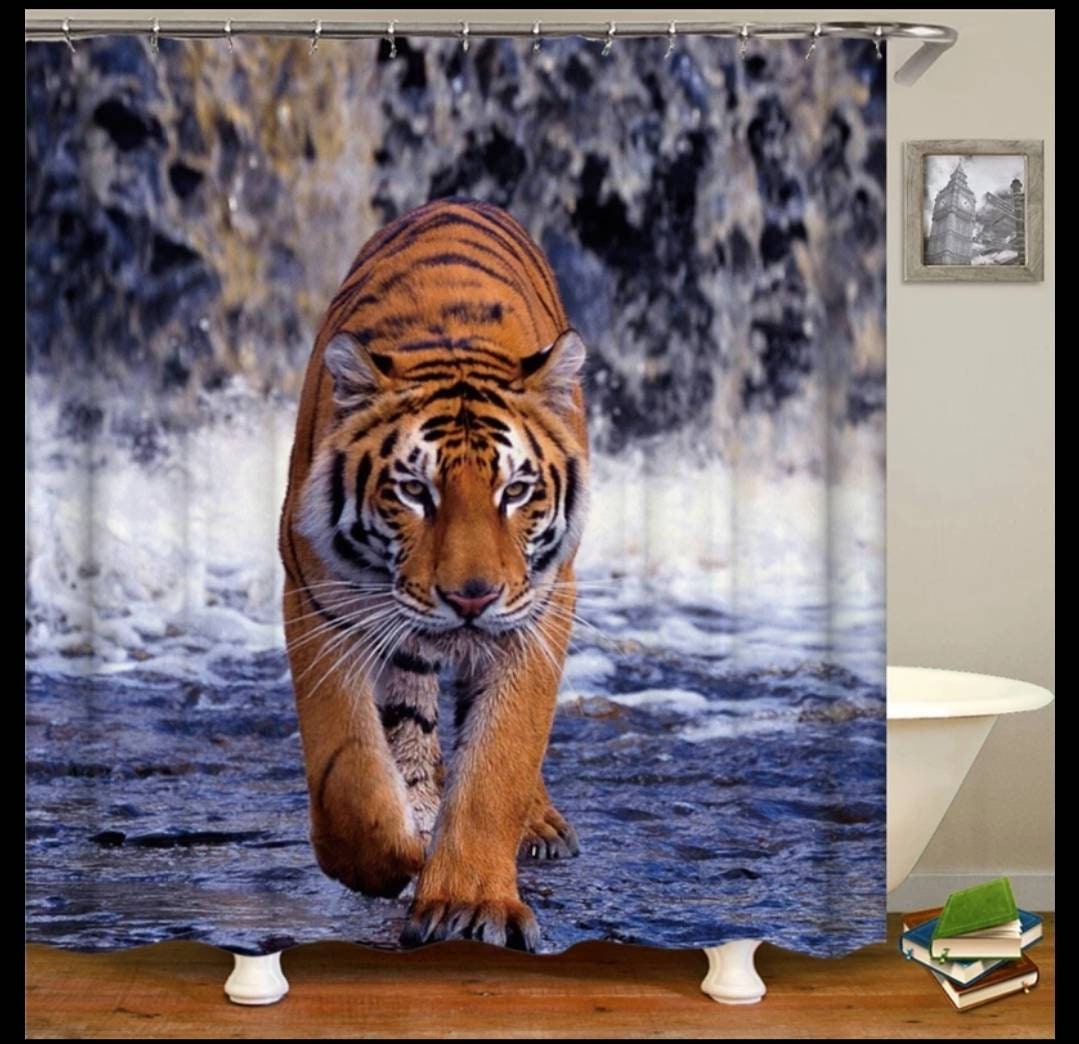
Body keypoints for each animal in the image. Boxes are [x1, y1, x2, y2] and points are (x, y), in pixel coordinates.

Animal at [278, 198, 589, 951]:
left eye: (516, 490)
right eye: (415, 491)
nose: (471, 598)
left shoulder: (539, 611)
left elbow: (499, 760)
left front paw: (468, 902)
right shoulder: (318, 603)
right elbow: (348, 770)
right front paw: (388, 860)